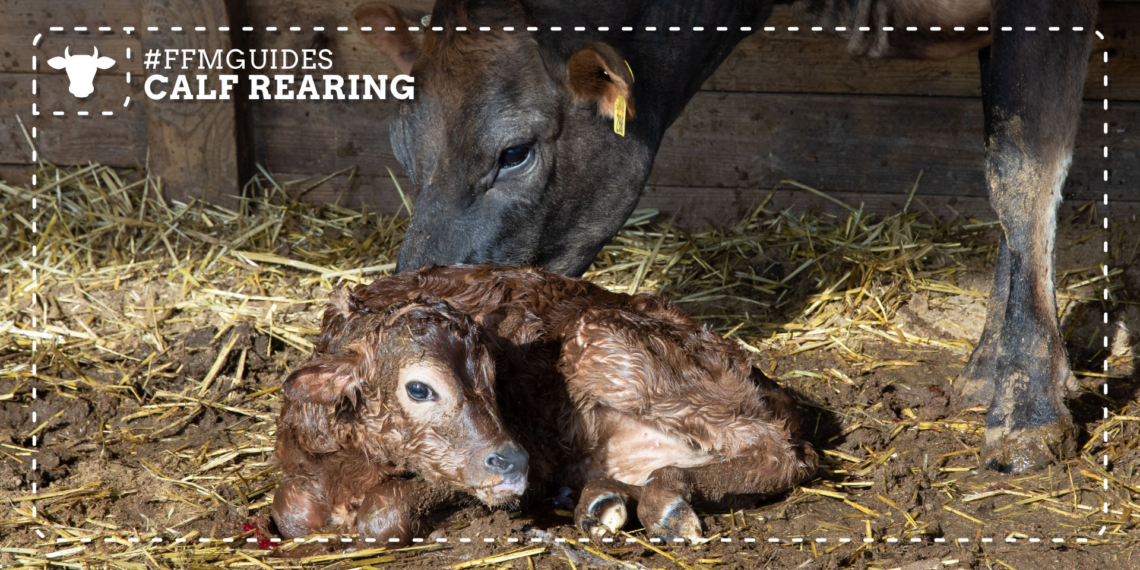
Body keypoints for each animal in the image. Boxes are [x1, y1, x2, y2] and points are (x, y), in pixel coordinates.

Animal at [350, 0, 1098, 473]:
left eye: (514, 153)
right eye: (400, 144)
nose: (408, 300)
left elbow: (1020, 166)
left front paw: (1028, 403)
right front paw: (992, 364)